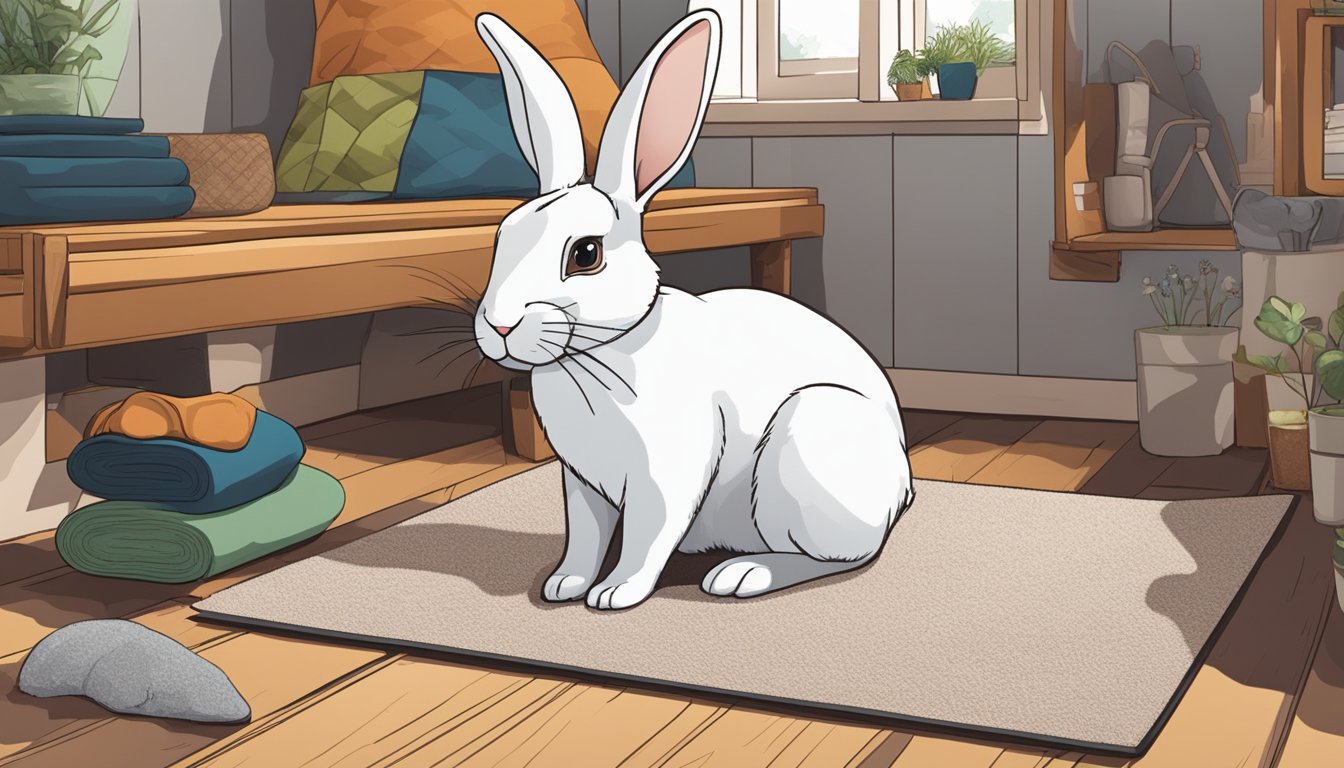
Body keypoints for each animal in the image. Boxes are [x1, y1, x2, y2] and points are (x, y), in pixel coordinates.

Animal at [474, 9, 914, 611]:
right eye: (502, 237)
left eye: (585, 254)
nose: (499, 325)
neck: (596, 354)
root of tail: (903, 486)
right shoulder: (582, 482)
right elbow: (585, 537)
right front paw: (564, 585)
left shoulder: (668, 473)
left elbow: (646, 535)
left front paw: (615, 593)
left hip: (805, 451)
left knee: (841, 557)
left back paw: (742, 574)